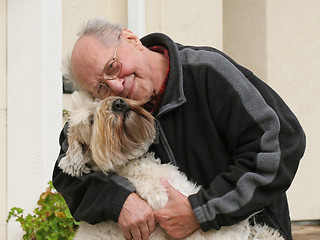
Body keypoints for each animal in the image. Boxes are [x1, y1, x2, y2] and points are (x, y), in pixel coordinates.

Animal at [58, 91, 284, 239]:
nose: (119, 103)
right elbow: (235, 229)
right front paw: (266, 233)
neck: (130, 165)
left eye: (97, 98)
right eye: (90, 121)